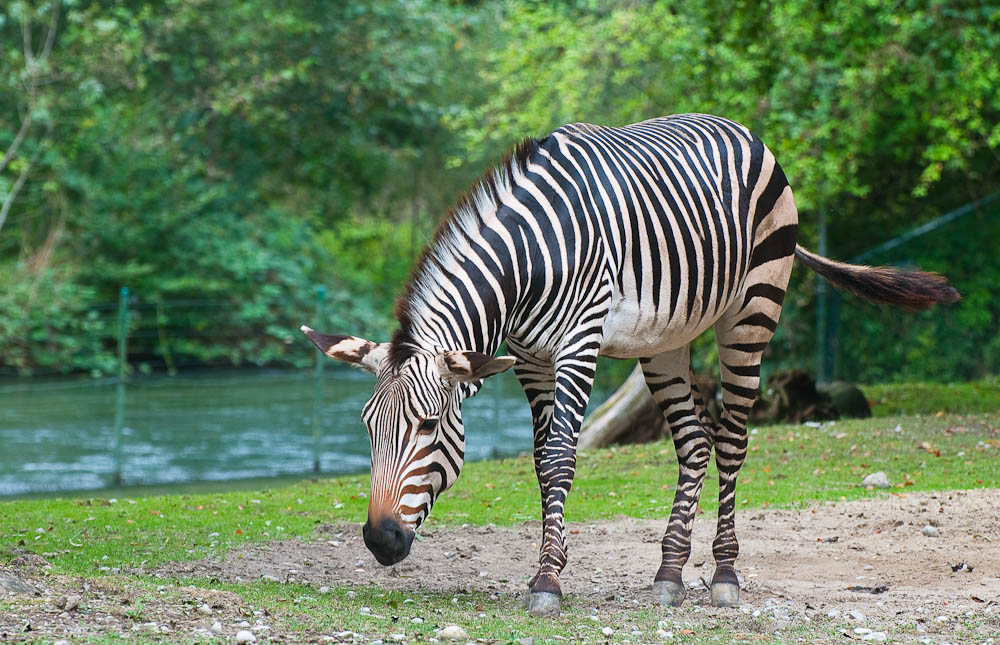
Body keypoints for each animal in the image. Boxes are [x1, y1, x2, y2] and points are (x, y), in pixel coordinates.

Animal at [300, 113, 956, 616]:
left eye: (430, 427)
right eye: (367, 428)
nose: (380, 541)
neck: (532, 257)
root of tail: (742, 128)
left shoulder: (579, 343)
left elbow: (562, 458)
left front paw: (547, 582)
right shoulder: (530, 360)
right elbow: (541, 463)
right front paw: (552, 565)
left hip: (751, 313)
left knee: (732, 441)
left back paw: (724, 576)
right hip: (663, 340)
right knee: (694, 444)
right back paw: (668, 573)